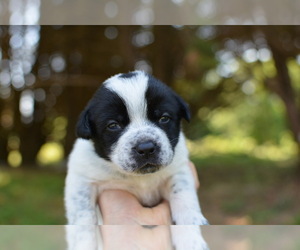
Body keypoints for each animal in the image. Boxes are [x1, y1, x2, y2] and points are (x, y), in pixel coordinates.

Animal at [64, 70, 207, 250]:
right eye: (113, 125)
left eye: (164, 118)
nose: (146, 148)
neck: (139, 178)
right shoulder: (82, 182)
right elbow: (83, 219)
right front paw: (84, 244)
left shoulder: (178, 170)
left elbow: (184, 197)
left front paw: (191, 239)